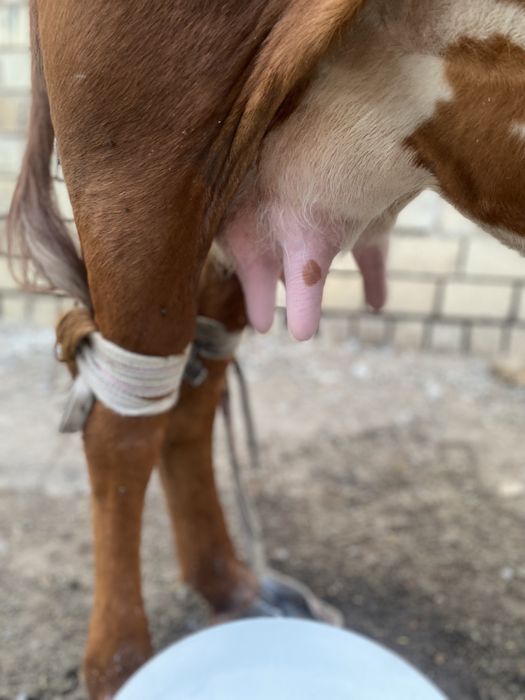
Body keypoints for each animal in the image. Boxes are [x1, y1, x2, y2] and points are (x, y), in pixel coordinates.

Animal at [7, 0, 525, 697]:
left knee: (190, 397)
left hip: (231, 193)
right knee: (121, 424)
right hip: (142, 167)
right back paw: (123, 664)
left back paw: (232, 589)